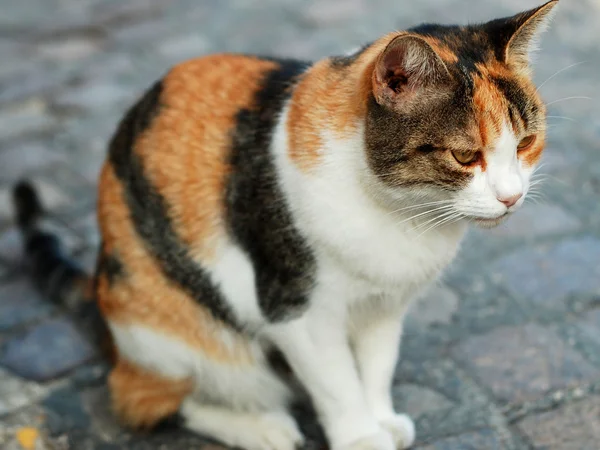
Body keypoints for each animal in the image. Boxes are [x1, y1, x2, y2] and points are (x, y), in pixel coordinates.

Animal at [12, 1, 556, 448]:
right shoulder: (295, 308)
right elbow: (337, 382)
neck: (401, 215)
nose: (511, 196)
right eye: (465, 156)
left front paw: (381, 419)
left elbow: (377, 367)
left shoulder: (385, 307)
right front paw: (362, 437)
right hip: (166, 329)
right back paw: (262, 428)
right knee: (153, 399)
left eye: (526, 143)